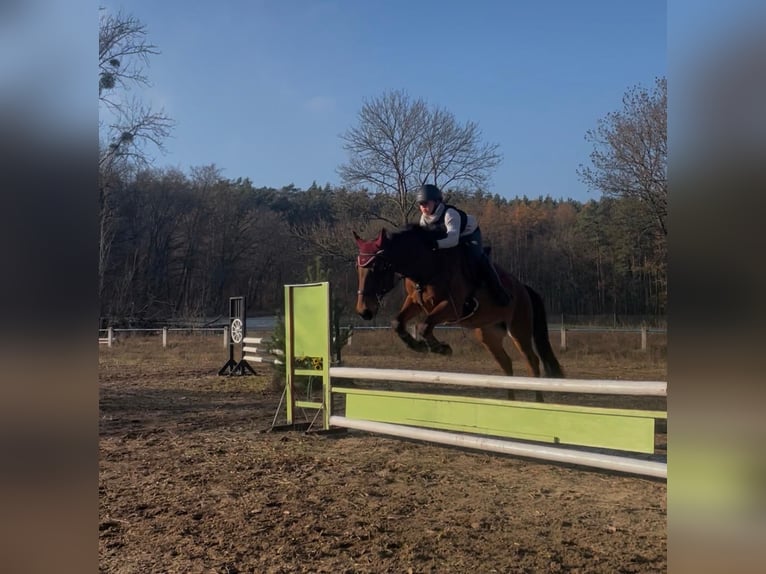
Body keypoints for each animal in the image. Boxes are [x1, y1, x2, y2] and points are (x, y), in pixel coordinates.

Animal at [353, 225, 564, 401]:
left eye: (377, 267)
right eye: (358, 268)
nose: (364, 311)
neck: (427, 264)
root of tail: (524, 289)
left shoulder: (451, 306)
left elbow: (424, 325)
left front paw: (442, 348)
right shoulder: (415, 301)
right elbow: (398, 322)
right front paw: (417, 346)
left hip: (519, 329)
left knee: (532, 361)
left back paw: (538, 402)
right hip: (488, 334)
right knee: (506, 362)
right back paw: (510, 403)